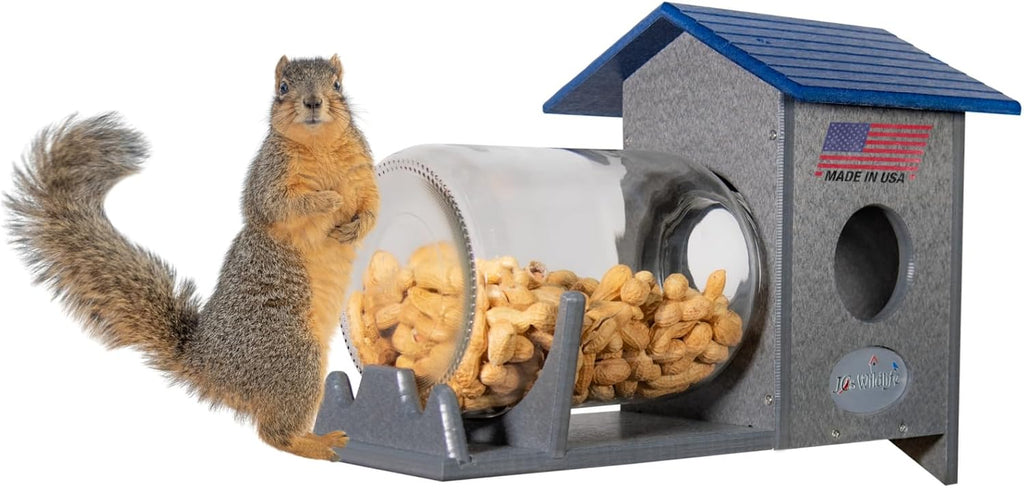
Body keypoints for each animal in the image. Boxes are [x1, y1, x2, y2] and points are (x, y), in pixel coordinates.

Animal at [4, 54, 378, 461]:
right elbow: (281, 206)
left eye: (337, 84)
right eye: (282, 88)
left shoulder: (363, 171)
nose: (312, 102)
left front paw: (356, 226)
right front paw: (328, 200)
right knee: (274, 434)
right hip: (293, 356)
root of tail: (202, 362)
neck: (319, 145)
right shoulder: (267, 179)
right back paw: (319, 444)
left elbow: (372, 206)